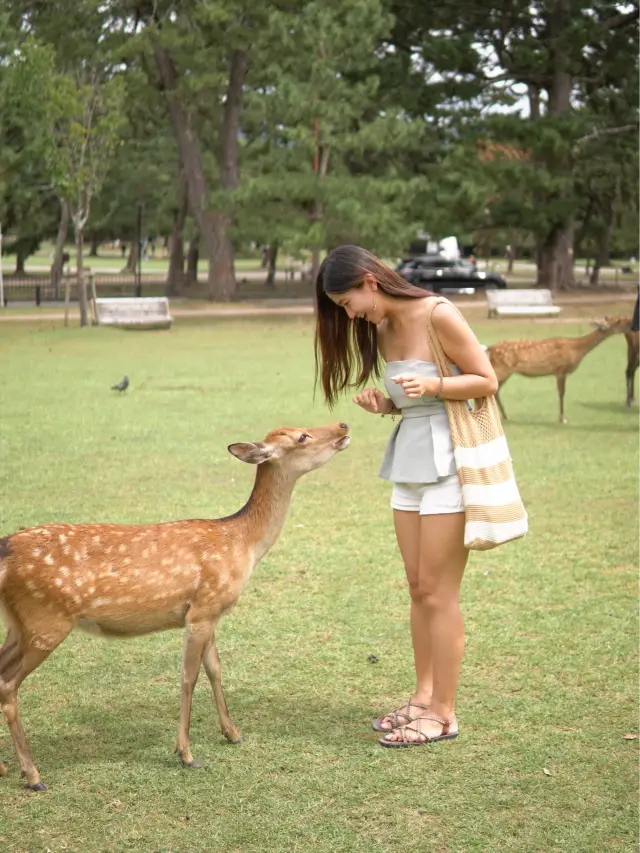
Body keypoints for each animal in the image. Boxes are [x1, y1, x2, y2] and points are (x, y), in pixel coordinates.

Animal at [0, 422, 350, 788]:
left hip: (19, 624)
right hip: (46, 620)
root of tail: (4, 549)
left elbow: (215, 668)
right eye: (302, 436)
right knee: (8, 684)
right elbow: (189, 676)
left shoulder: (210, 611)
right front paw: (186, 753)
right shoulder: (203, 609)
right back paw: (32, 773)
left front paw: (232, 733)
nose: (342, 425)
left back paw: (5, 767)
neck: (244, 544)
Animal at [488, 316, 632, 422]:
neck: (576, 349)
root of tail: (490, 349)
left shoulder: (560, 371)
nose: (630, 323)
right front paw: (562, 419)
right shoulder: (561, 369)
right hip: (502, 369)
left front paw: (562, 418)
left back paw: (505, 416)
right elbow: (562, 393)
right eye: (618, 320)